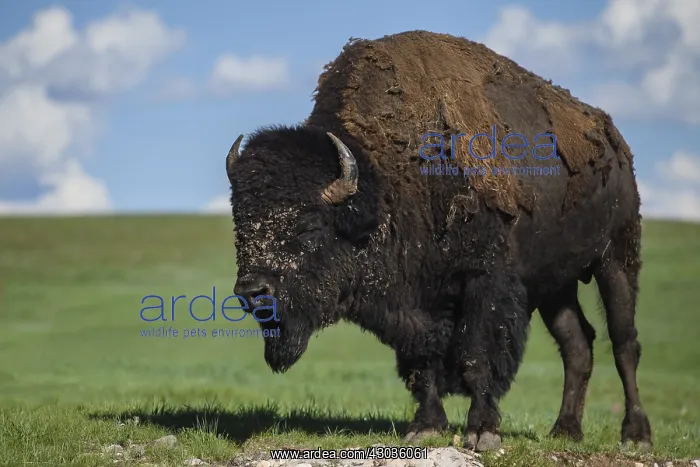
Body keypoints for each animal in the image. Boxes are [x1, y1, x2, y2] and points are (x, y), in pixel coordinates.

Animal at [226, 30, 652, 452]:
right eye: (239, 226)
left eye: (309, 226)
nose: (252, 291)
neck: (384, 189)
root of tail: (615, 144)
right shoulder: (417, 303)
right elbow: (422, 363)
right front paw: (426, 427)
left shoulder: (485, 282)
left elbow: (476, 357)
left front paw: (482, 432)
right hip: (555, 285)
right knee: (577, 344)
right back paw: (565, 430)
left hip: (617, 259)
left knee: (624, 343)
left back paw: (636, 435)